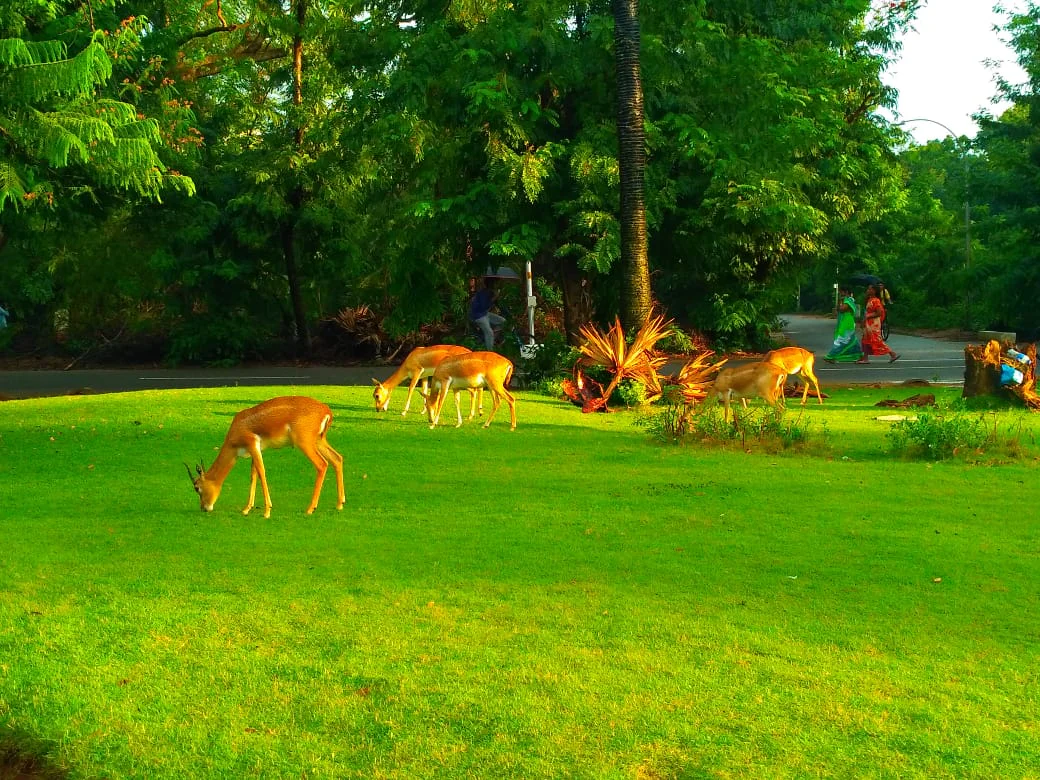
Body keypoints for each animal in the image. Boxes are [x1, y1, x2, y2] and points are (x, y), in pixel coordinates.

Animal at [186, 396, 345, 519]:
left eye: (197, 487)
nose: (204, 508)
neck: (238, 427)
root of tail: (326, 411)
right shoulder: (256, 450)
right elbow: (253, 475)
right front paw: (246, 509)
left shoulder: (252, 444)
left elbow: (261, 473)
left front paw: (267, 511)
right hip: (319, 441)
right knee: (337, 458)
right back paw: (340, 504)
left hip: (305, 443)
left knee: (322, 464)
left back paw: (310, 508)